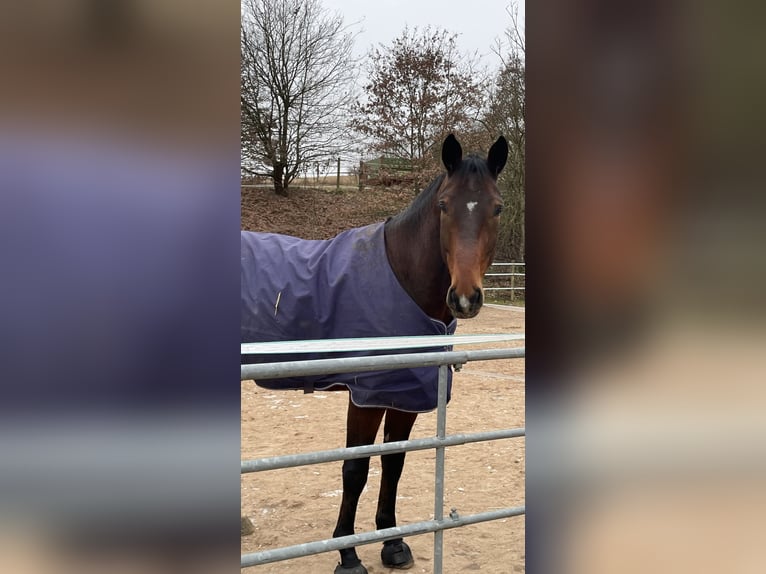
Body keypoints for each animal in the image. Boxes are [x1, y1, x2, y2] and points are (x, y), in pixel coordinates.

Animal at [241, 134, 508, 573]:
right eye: (443, 205)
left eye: (497, 206)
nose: (465, 298)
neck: (401, 278)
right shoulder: (365, 395)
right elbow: (356, 468)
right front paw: (348, 554)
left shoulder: (404, 395)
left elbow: (393, 463)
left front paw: (392, 542)